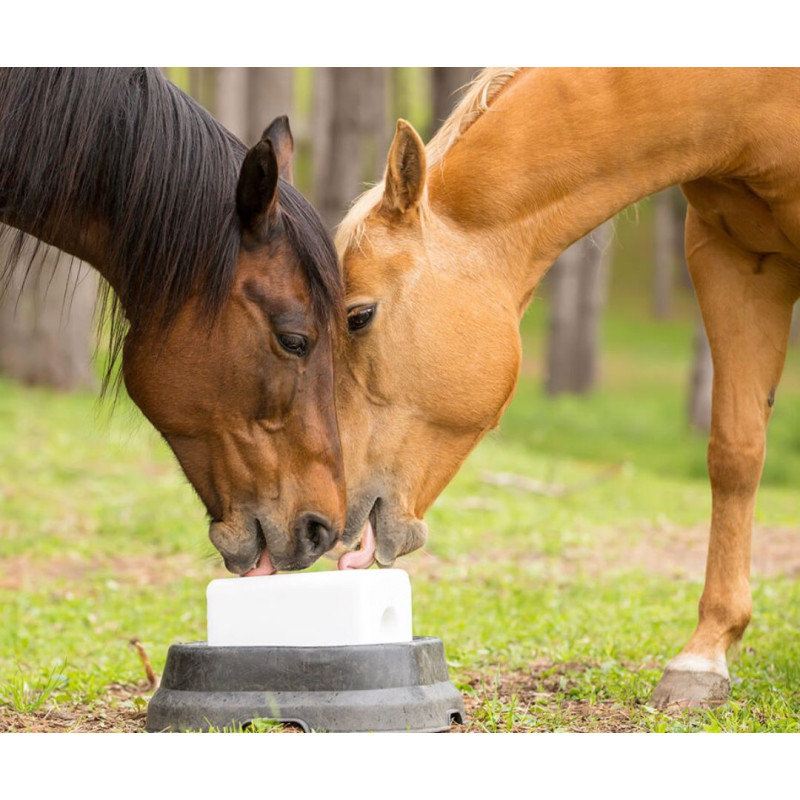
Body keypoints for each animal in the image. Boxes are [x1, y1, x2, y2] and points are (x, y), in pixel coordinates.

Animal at [334, 69, 800, 708]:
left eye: (358, 316)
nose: (330, 514)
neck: (752, 101)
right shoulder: (733, 256)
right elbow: (736, 454)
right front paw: (703, 657)